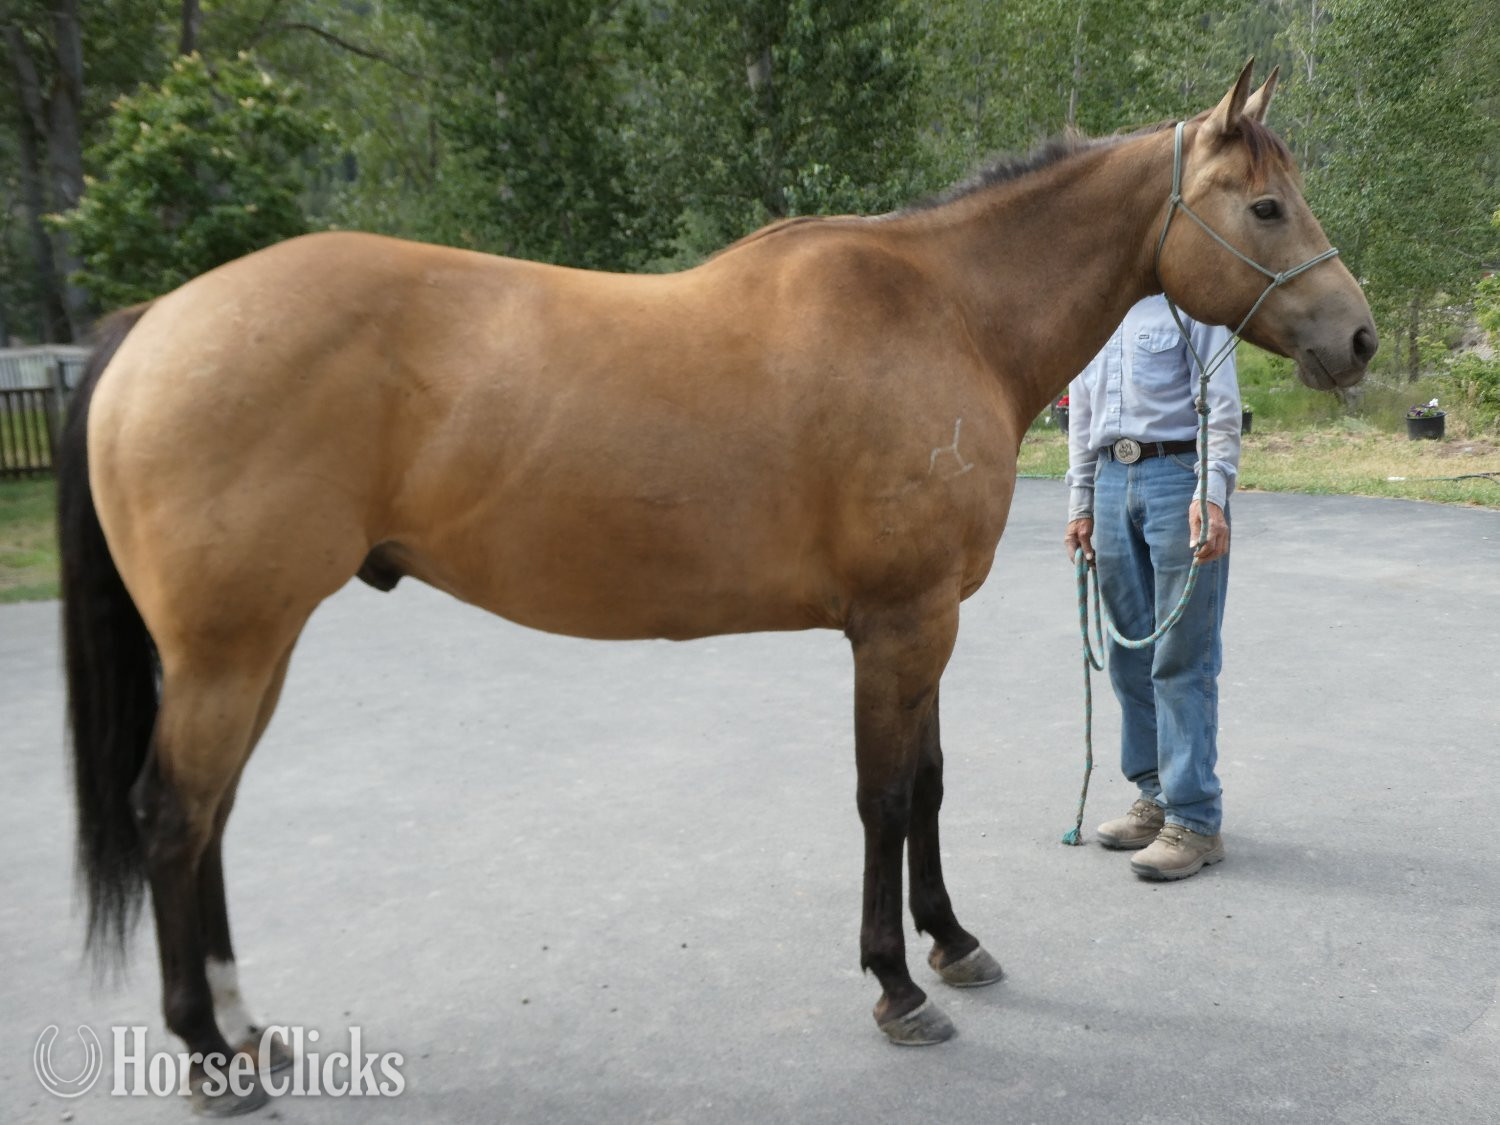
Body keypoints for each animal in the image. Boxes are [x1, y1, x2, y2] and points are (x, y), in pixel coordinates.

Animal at [58, 62, 1374, 1114]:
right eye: (1265, 205)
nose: (1357, 339)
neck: (943, 308)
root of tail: (157, 321)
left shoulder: (926, 626)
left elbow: (929, 788)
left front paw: (953, 943)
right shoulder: (897, 627)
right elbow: (884, 800)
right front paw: (898, 987)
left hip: (255, 650)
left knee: (213, 819)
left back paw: (245, 1032)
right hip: (231, 650)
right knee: (174, 819)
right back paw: (210, 1057)